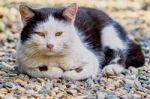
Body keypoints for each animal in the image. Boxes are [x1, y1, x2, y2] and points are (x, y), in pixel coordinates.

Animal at [16, 3, 144, 80]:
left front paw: (68, 73)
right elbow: (40, 71)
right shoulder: (24, 63)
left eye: (59, 33)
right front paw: (55, 71)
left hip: (109, 33)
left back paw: (112, 68)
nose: (50, 45)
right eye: (40, 34)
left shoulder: (92, 59)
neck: (54, 58)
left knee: (122, 52)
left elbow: (76, 73)